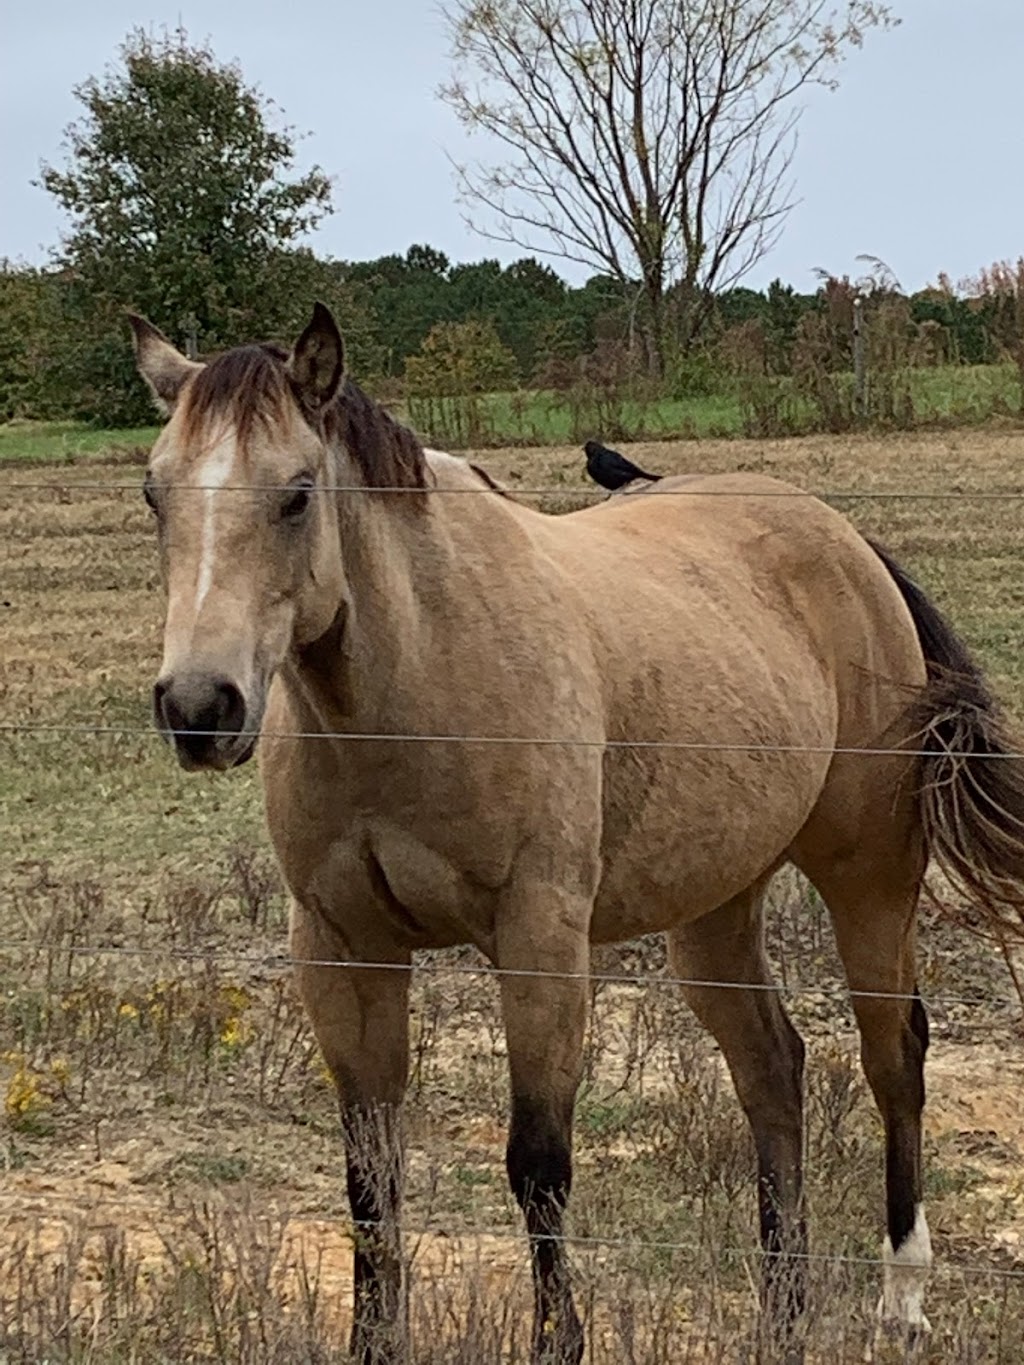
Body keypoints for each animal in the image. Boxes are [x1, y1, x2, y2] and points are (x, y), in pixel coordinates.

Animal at [128, 307, 1024, 1365]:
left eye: (297, 494)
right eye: (154, 491)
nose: (199, 707)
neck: (422, 672)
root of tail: (846, 540)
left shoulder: (541, 942)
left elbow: (540, 1165)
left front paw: (560, 1341)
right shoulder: (341, 950)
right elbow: (369, 1174)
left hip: (870, 879)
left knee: (895, 1055)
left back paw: (902, 1296)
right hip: (716, 911)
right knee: (773, 1067)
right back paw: (782, 1311)